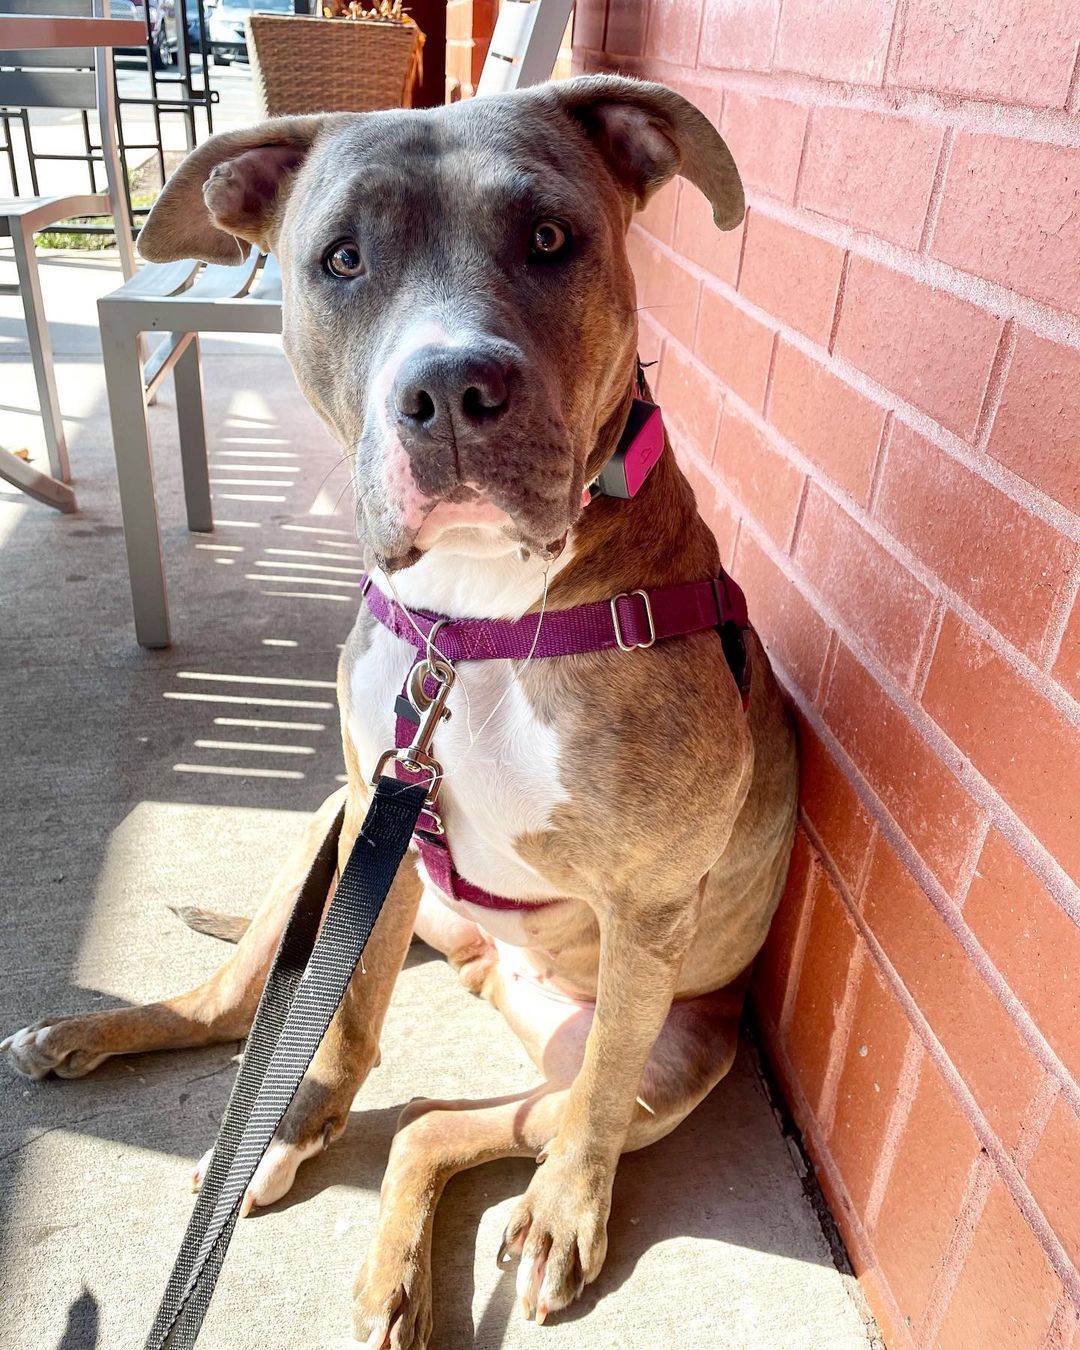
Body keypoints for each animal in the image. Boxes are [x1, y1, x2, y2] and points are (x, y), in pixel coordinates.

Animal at [0, 76, 793, 1350]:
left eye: (552, 238)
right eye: (341, 258)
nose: (452, 391)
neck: (470, 620)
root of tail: (483, 966)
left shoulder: (647, 910)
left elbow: (560, 1109)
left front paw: (565, 1214)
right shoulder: (376, 809)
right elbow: (347, 1020)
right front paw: (297, 1123)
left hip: (644, 1063)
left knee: (453, 1125)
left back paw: (425, 1269)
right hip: (332, 839)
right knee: (238, 1006)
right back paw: (106, 1048)